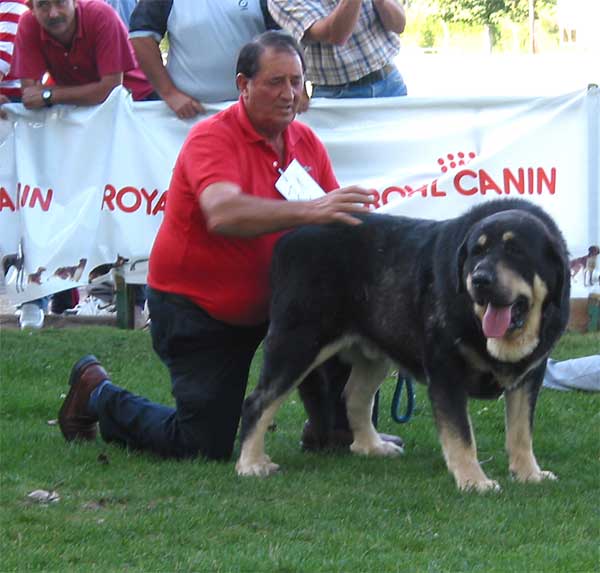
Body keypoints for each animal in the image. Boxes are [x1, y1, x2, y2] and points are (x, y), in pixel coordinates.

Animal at [237, 198, 568, 492]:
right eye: (476, 252)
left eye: (516, 251)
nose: (480, 279)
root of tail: (287, 239)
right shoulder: (445, 371)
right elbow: (461, 434)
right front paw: (473, 481)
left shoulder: (530, 376)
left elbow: (521, 432)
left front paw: (529, 473)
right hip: (298, 343)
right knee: (258, 401)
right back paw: (251, 463)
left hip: (371, 356)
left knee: (354, 397)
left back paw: (371, 446)